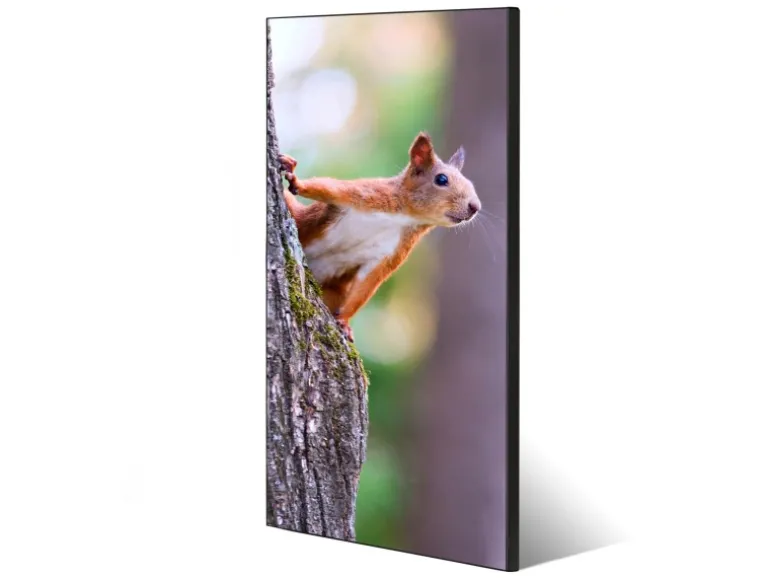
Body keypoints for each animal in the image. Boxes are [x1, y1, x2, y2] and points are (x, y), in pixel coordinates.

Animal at [278, 132, 480, 342]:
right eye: (441, 179)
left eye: (470, 184)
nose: (475, 207)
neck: (404, 217)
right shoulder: (367, 194)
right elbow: (329, 188)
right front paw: (296, 181)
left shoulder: (392, 252)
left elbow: (368, 282)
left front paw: (344, 321)